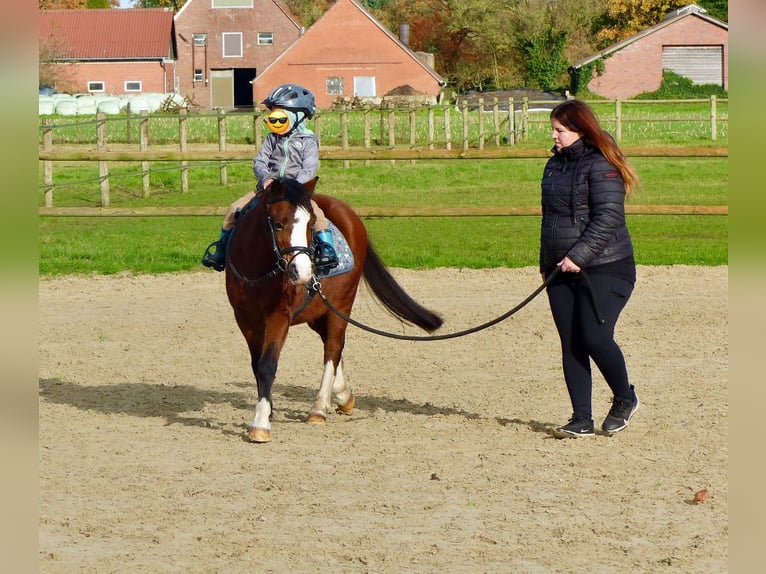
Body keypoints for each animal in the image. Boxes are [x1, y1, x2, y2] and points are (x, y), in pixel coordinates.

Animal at [222, 180, 444, 446]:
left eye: (310, 225)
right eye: (278, 224)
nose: (303, 272)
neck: (258, 272)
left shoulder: (279, 317)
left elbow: (267, 364)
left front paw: (260, 424)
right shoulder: (245, 319)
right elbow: (257, 364)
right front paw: (268, 410)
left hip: (342, 305)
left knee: (333, 348)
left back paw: (319, 408)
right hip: (319, 311)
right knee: (333, 345)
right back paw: (341, 395)